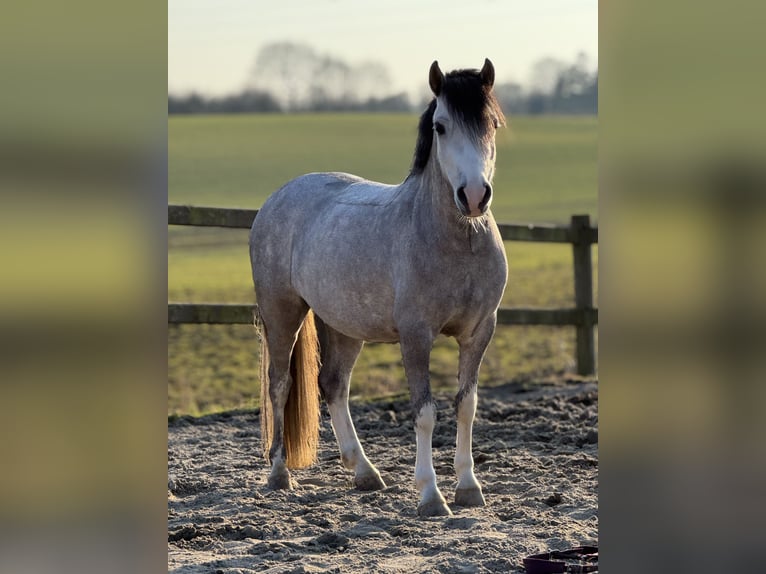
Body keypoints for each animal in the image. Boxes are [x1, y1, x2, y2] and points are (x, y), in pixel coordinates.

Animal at [249, 59, 507, 517]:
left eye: (491, 123)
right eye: (441, 126)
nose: (475, 196)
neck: (458, 240)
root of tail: (278, 197)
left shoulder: (480, 332)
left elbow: (467, 405)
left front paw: (468, 487)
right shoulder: (416, 336)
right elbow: (425, 412)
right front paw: (431, 495)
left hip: (345, 326)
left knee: (333, 385)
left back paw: (365, 472)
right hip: (282, 314)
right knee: (280, 385)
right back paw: (279, 475)